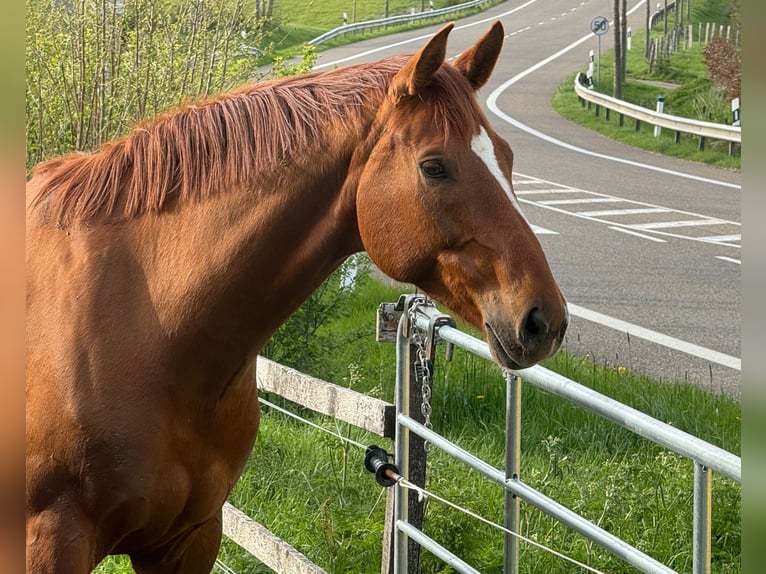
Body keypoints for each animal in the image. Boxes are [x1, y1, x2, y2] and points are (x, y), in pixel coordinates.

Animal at [27, 20, 568, 572]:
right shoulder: (50, 541)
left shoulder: (191, 539)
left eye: (506, 155)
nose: (543, 320)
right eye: (434, 166)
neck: (140, 322)